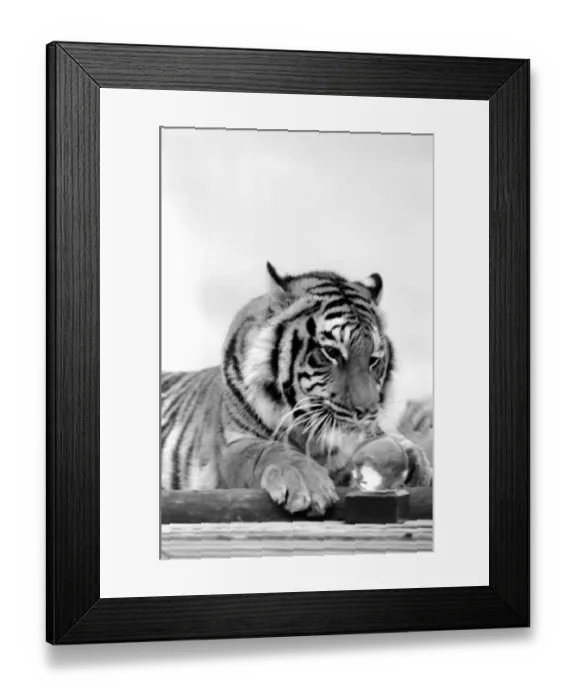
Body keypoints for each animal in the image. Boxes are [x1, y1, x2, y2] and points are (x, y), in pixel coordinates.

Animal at [161, 262, 432, 515]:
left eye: (374, 359)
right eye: (331, 352)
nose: (366, 410)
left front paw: (416, 465)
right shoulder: (233, 444)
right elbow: (268, 450)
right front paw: (306, 483)